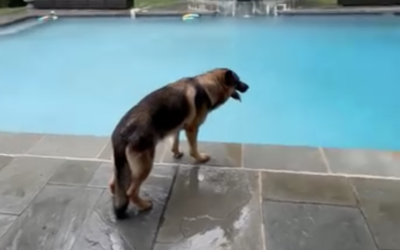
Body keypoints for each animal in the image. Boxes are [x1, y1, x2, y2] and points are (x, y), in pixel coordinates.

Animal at [108, 68, 248, 219]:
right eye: (238, 80)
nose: (248, 87)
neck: (207, 84)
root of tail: (122, 132)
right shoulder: (192, 128)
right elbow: (193, 148)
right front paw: (200, 158)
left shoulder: (179, 125)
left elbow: (175, 139)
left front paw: (176, 152)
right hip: (144, 166)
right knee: (130, 191)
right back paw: (143, 205)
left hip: (125, 167)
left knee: (114, 183)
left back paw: (116, 197)